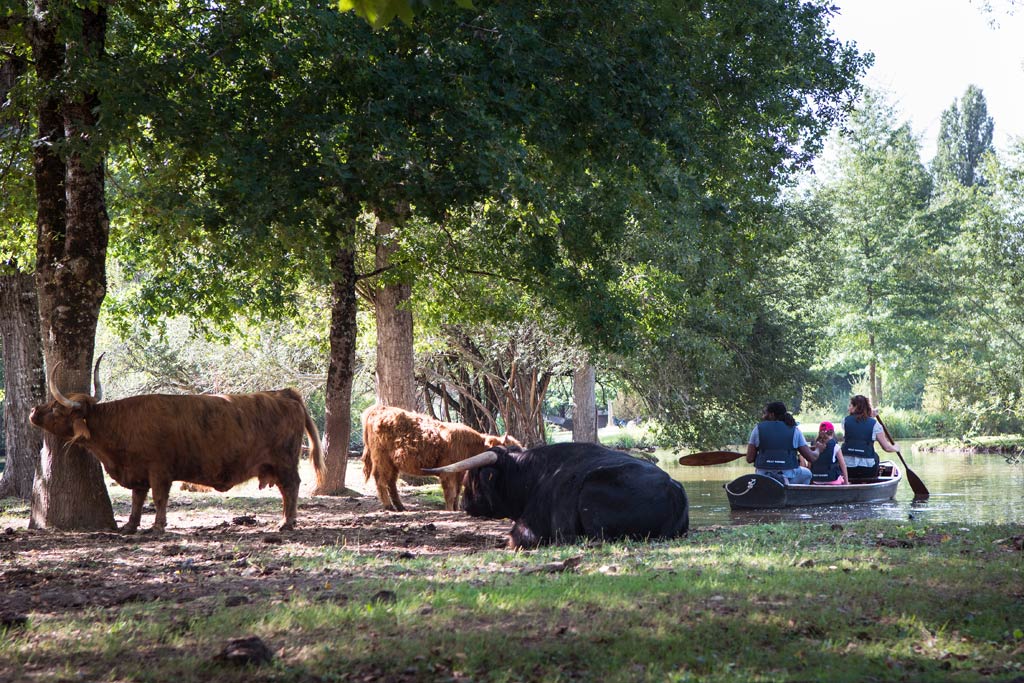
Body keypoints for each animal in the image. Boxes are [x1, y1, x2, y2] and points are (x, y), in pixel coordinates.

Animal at [29, 360, 323, 532]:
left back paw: (286, 523)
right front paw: (130, 526)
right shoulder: (138, 472)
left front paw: (157, 527)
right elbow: (137, 499)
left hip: (285, 462)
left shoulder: (159, 470)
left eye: (55, 407)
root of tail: (284, 393)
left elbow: (159, 498)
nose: (33, 411)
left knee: (291, 487)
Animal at [360, 405, 520, 511]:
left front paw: (456, 509)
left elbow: (457, 493)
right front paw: (449, 510)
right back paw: (389, 506)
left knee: (391, 482)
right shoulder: (448, 473)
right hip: (382, 459)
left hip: (393, 463)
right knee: (380, 480)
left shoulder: (459, 472)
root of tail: (379, 408)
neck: (469, 445)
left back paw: (400, 507)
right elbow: (450, 492)